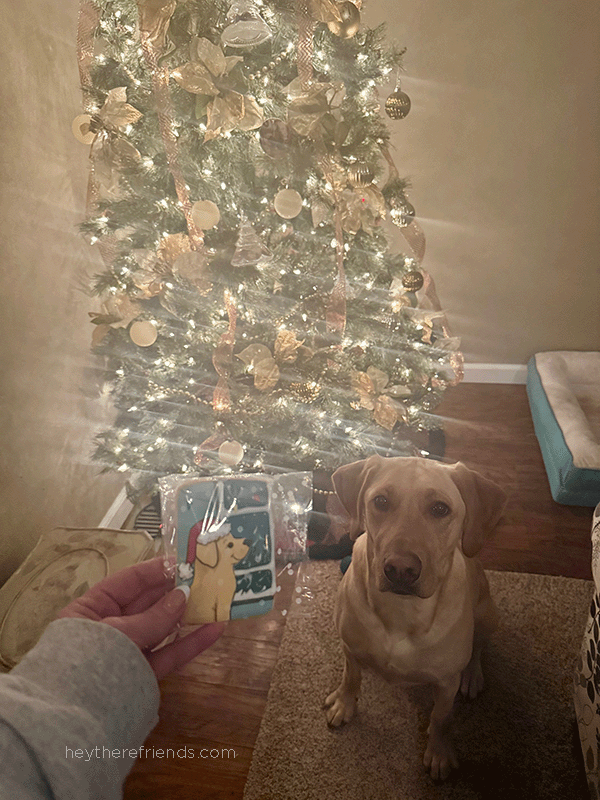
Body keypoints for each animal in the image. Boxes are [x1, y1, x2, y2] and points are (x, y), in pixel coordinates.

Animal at [324, 455, 506, 780]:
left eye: (440, 509)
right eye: (381, 501)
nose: (400, 569)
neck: (402, 612)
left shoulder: (446, 683)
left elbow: (441, 717)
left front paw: (439, 751)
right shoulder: (349, 648)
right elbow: (351, 677)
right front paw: (344, 704)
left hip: (488, 614)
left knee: (478, 648)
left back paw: (473, 675)